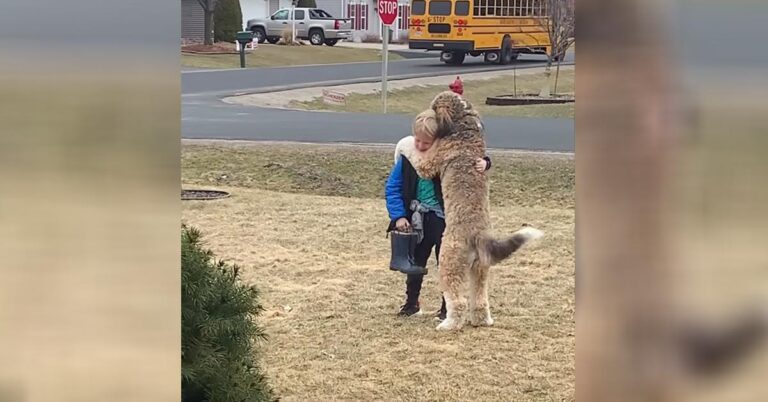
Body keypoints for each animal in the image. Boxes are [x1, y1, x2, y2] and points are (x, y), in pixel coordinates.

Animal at [414, 91, 544, 330]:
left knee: (458, 301)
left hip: (448, 263)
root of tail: (479, 236)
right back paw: (483, 320)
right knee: (480, 299)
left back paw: (448, 324)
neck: (463, 125)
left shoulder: (431, 161)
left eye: (434, 106)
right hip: (480, 269)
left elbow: (417, 156)